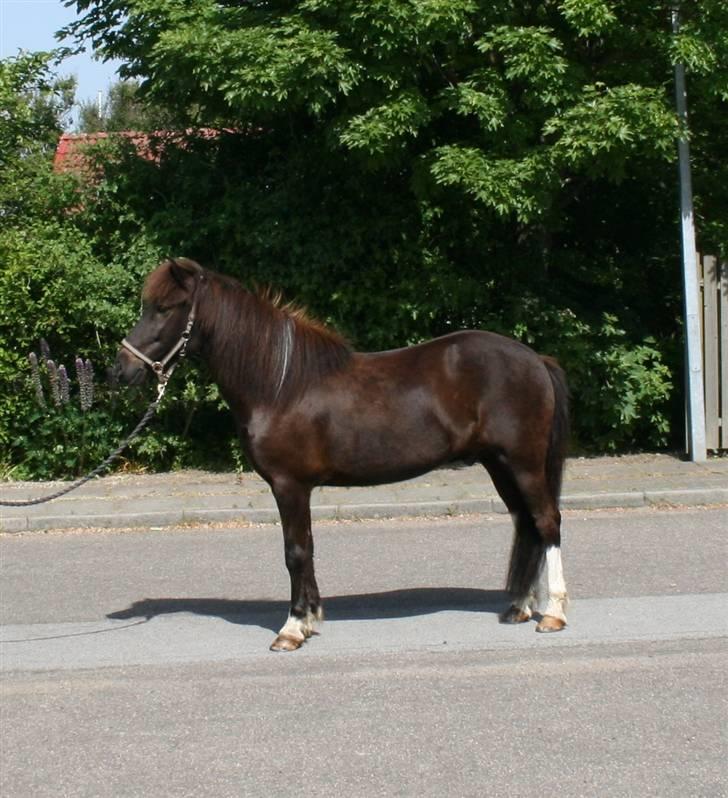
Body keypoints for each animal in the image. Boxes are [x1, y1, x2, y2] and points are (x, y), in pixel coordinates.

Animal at [115, 260, 568, 652]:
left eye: (165, 308)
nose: (119, 370)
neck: (279, 384)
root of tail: (535, 359)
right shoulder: (298, 488)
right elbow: (308, 549)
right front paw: (310, 619)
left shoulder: (289, 485)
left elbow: (295, 552)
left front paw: (292, 628)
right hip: (500, 465)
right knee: (527, 524)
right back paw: (519, 608)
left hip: (523, 464)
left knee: (547, 522)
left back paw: (553, 614)